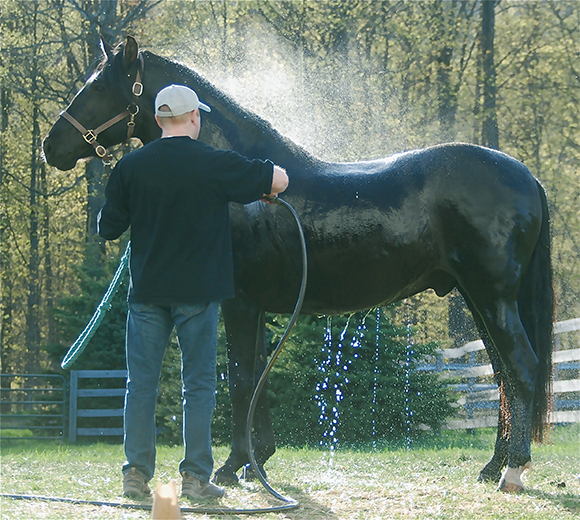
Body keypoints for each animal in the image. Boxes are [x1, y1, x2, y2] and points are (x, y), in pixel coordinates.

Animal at [44, 36, 552, 492]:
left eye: (97, 88)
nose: (52, 146)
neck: (241, 183)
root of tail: (525, 174)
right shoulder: (258, 308)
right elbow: (256, 378)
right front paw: (256, 464)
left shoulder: (241, 304)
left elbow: (241, 379)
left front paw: (232, 467)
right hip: (478, 298)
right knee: (503, 378)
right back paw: (492, 466)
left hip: (492, 297)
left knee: (522, 368)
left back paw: (512, 471)